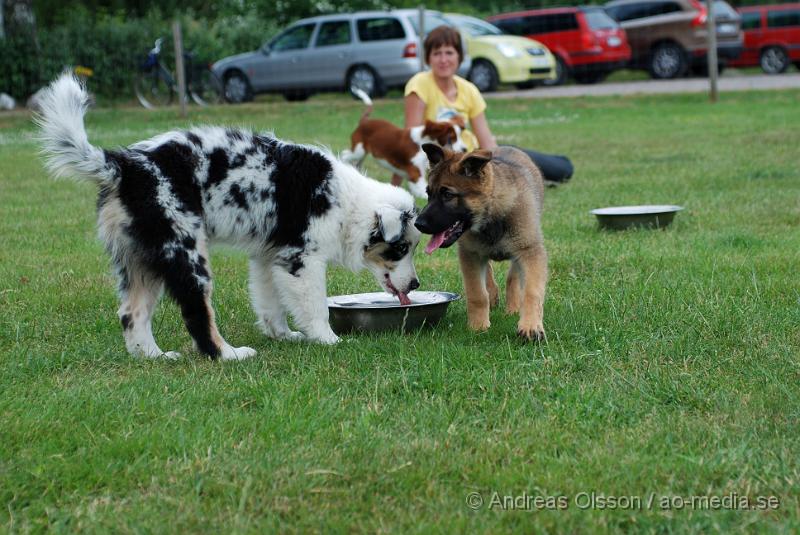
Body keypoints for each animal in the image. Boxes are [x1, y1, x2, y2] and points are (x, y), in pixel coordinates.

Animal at [37, 74, 422, 360]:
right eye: (401, 249)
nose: (417, 285)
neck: (348, 202)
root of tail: (126, 166)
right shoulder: (301, 259)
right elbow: (315, 306)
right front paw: (328, 340)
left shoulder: (269, 257)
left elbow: (270, 303)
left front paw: (283, 335)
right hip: (186, 250)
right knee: (196, 313)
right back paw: (227, 354)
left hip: (141, 257)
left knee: (131, 313)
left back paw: (153, 356)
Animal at [416, 144, 548, 342]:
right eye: (428, 194)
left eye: (448, 195)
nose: (418, 224)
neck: (492, 215)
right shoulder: (470, 255)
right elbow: (477, 293)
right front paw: (478, 327)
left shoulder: (530, 251)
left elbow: (531, 291)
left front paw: (530, 326)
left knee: (513, 276)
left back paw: (513, 307)